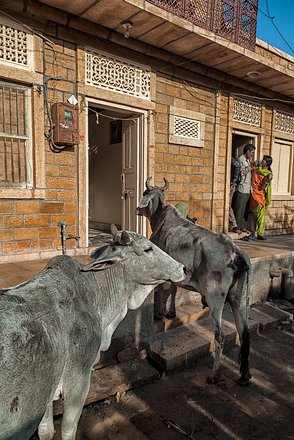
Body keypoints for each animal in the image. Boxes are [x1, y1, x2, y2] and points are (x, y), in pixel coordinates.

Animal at [137, 178, 252, 384]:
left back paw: (215, 376)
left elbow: (161, 289)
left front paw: (159, 314)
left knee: (220, 336)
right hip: (239, 297)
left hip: (215, 297)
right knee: (245, 332)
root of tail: (235, 251)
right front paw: (171, 313)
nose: (137, 209)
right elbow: (174, 289)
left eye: (144, 193)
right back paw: (244, 376)